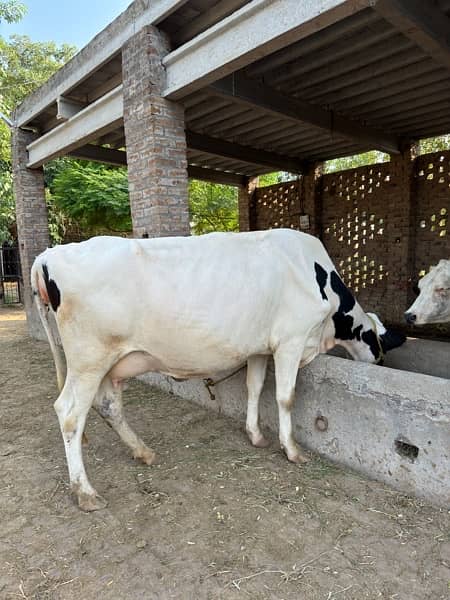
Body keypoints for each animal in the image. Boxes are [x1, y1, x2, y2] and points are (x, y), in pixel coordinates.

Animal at [30, 230, 404, 510]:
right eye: (382, 353)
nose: (381, 363)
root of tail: (50, 253)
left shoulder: (259, 347)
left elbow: (255, 387)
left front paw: (255, 435)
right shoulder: (291, 340)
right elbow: (285, 397)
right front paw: (292, 450)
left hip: (108, 363)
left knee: (108, 406)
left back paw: (143, 451)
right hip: (89, 359)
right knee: (69, 413)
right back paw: (85, 492)